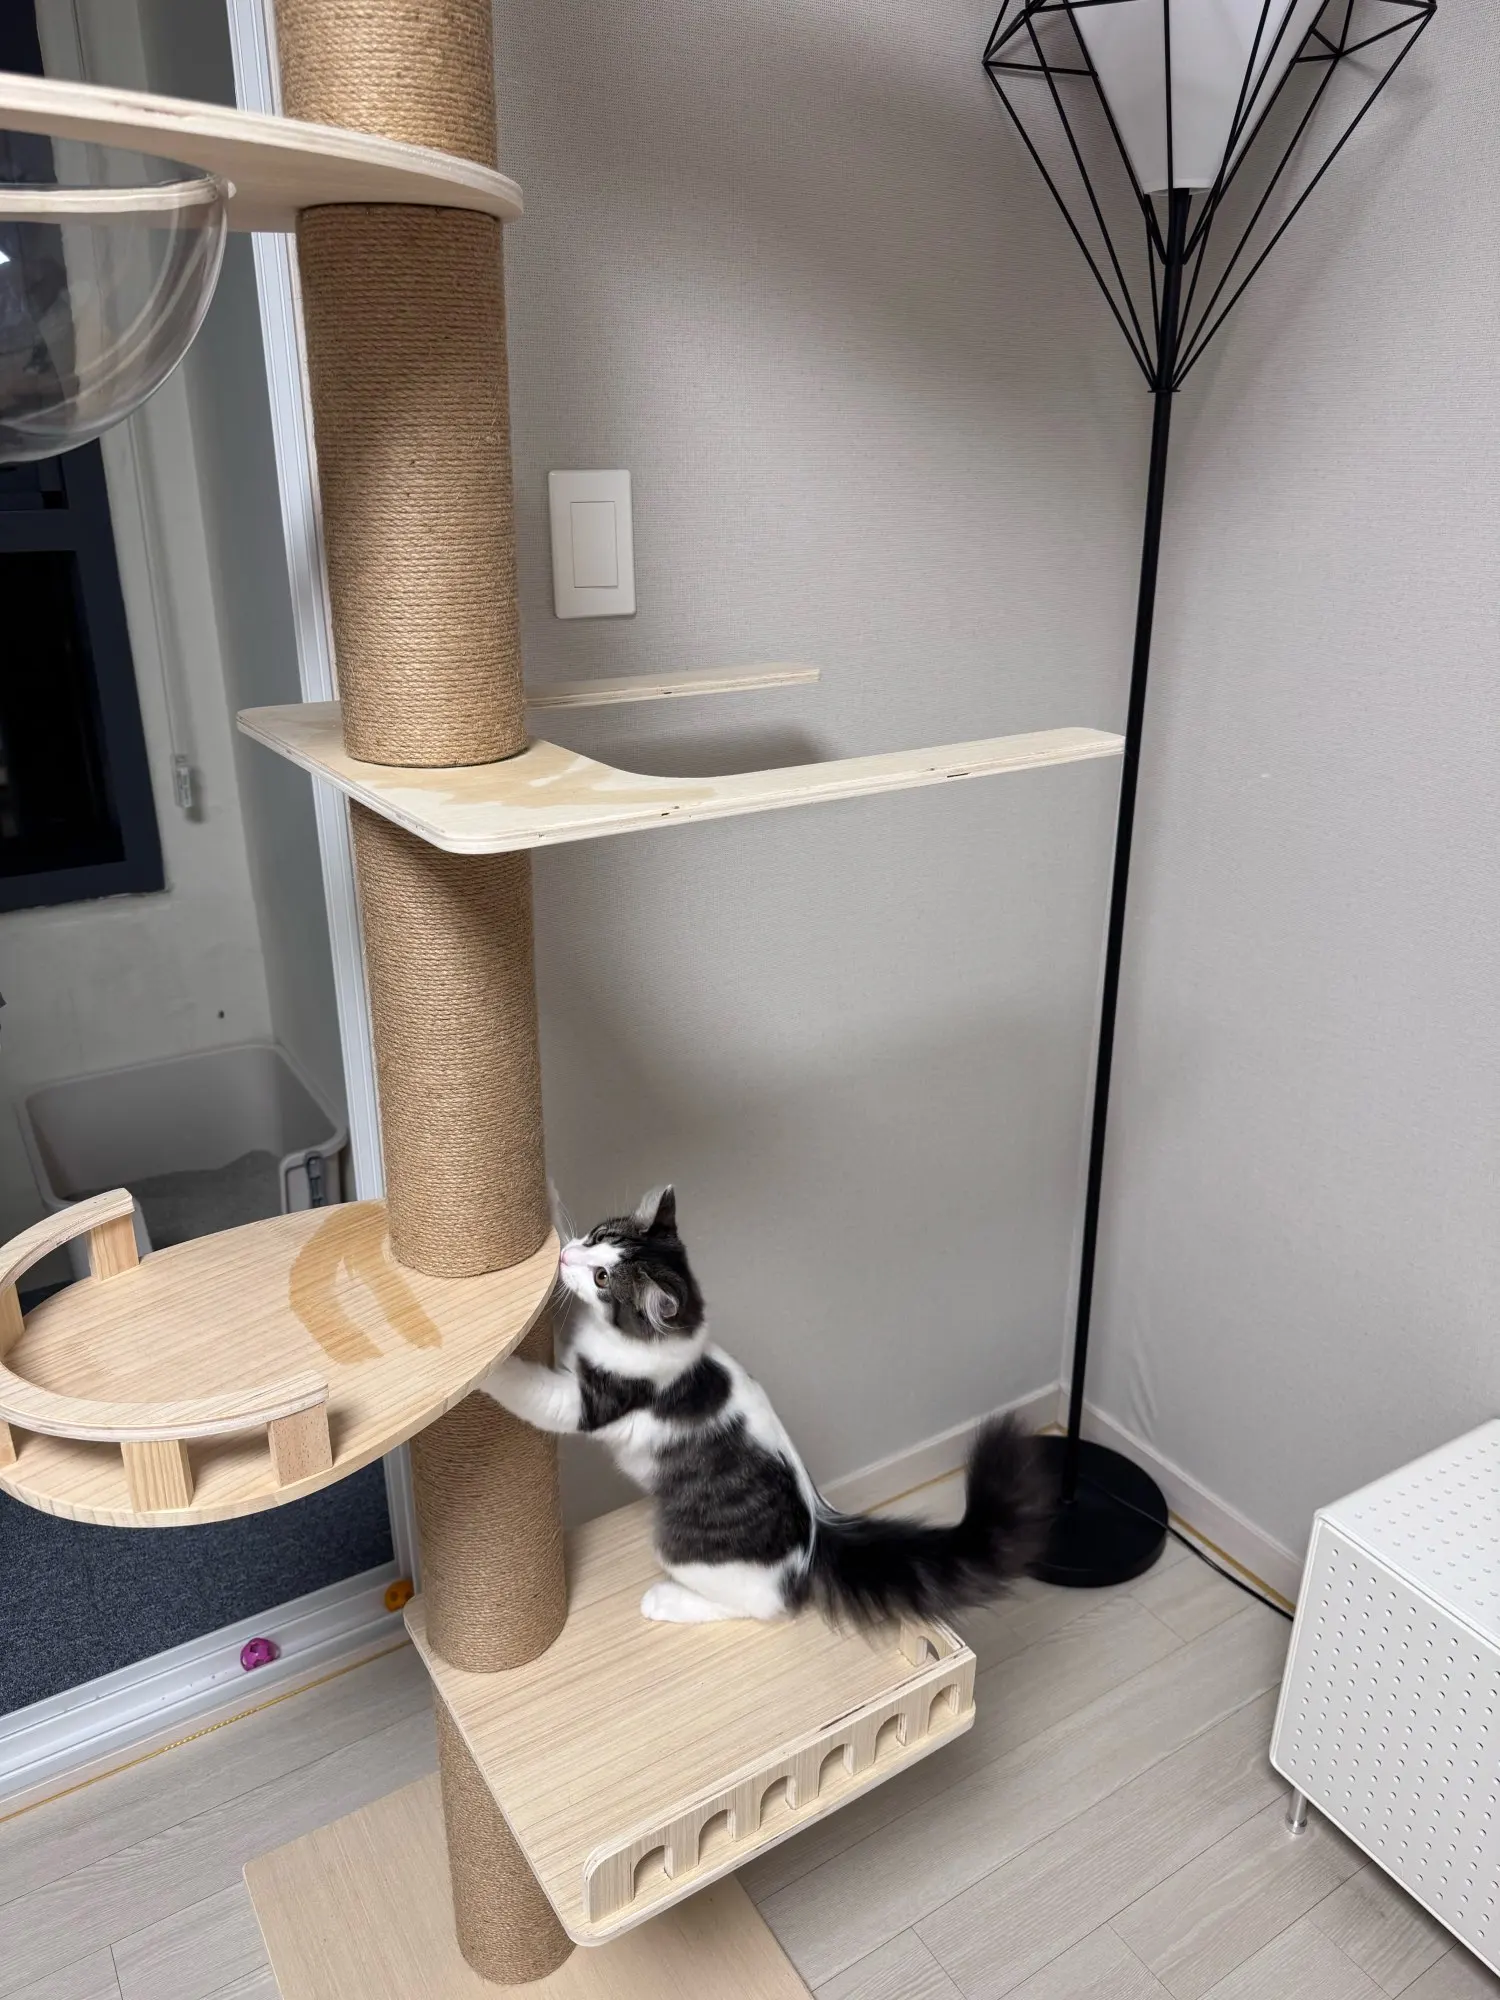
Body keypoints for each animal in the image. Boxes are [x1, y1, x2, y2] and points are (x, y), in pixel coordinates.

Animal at [478, 1185, 1053, 1626]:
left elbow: (526, 1387)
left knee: (766, 1605)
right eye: (594, 1239)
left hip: (683, 1548)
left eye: (603, 1279)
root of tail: (815, 1538)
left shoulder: (588, 1398)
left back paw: (666, 1601)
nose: (566, 1256)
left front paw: (483, 1366)